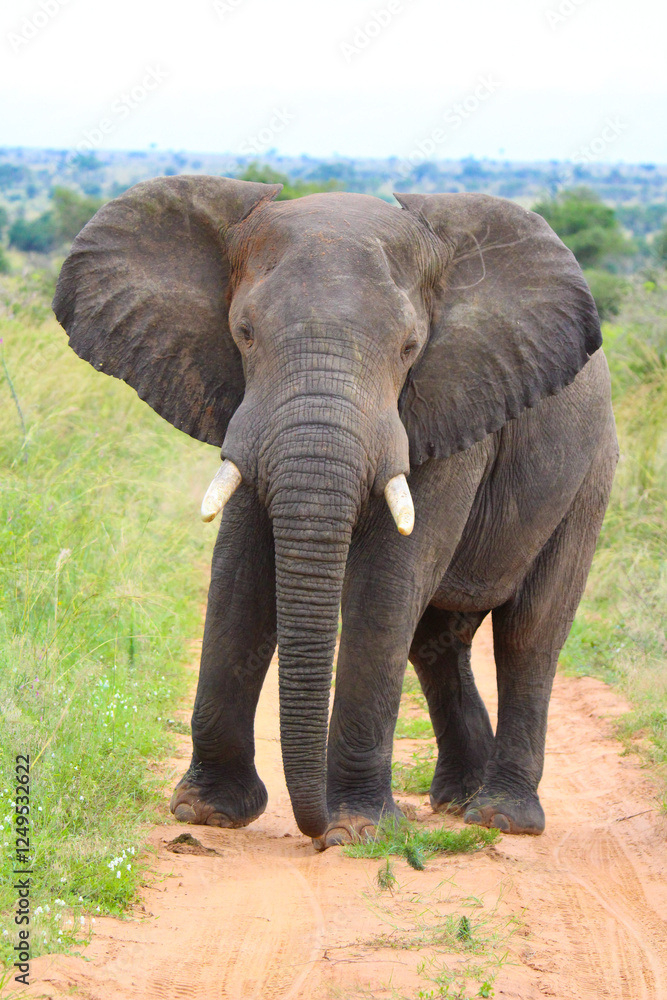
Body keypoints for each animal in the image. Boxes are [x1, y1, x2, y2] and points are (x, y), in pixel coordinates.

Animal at [53, 175, 617, 848]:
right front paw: (207, 813)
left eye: (409, 348)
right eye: (244, 332)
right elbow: (240, 571)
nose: (312, 825)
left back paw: (499, 817)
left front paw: (356, 830)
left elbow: (386, 583)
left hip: (590, 475)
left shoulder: (450, 403)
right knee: (435, 642)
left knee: (529, 633)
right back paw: (455, 801)